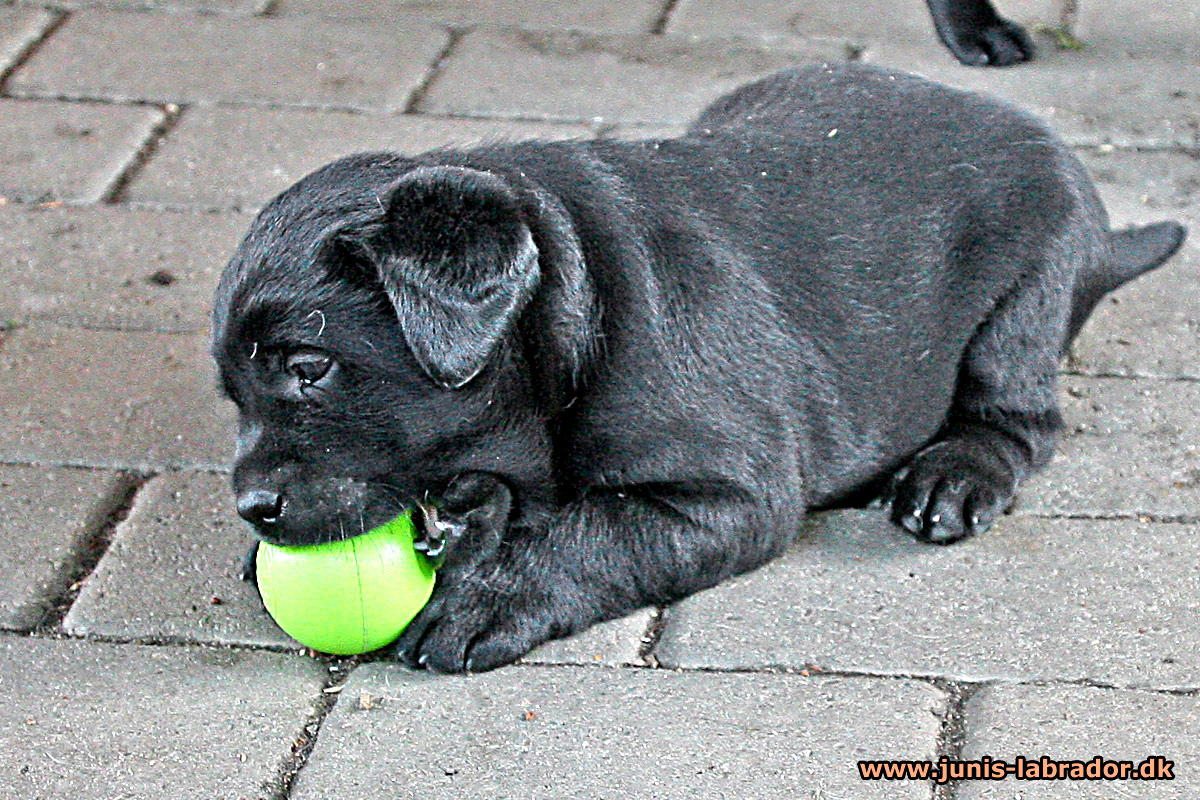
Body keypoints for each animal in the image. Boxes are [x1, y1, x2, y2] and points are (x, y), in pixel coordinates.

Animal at [213, 65, 1180, 671]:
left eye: (309, 366)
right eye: (231, 392)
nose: (253, 507)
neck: (575, 292)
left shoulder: (729, 495)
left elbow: (591, 532)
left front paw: (487, 597)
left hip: (1031, 297)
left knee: (1018, 420)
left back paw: (953, 474)